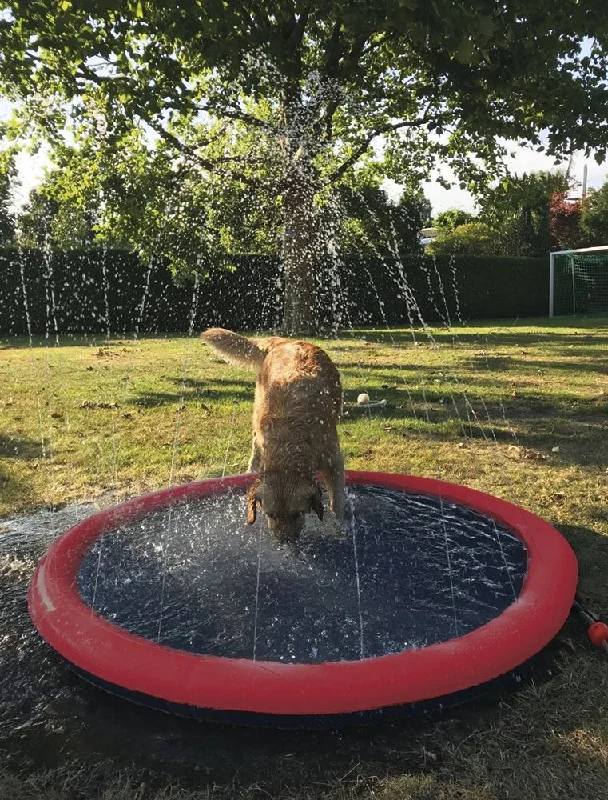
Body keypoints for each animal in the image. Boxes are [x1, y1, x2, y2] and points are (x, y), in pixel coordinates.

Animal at [202, 328, 344, 548]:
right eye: (271, 514)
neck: (289, 439)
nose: (285, 542)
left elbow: (336, 502)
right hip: (257, 408)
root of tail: (285, 341)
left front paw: (339, 527)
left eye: (297, 514)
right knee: (254, 443)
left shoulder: (332, 459)